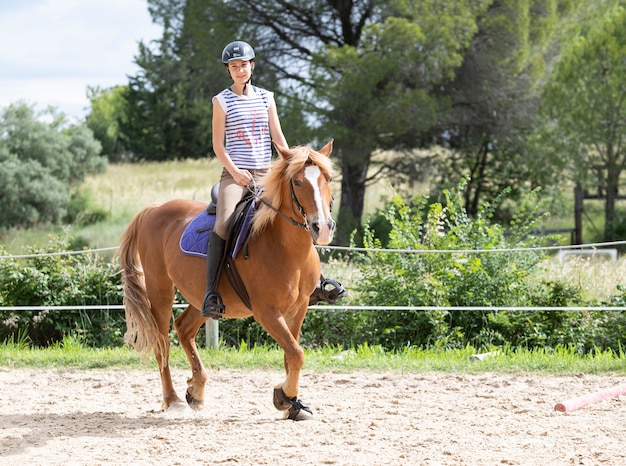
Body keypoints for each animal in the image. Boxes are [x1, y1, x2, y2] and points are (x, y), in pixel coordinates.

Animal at [115, 140, 334, 420]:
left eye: (328, 179)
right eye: (297, 182)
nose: (323, 228)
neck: (284, 247)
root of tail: (154, 209)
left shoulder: (299, 308)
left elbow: (291, 355)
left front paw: (291, 402)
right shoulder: (267, 312)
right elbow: (296, 353)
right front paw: (284, 398)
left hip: (203, 298)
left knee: (183, 328)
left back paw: (196, 390)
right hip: (160, 290)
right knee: (162, 342)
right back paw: (173, 399)